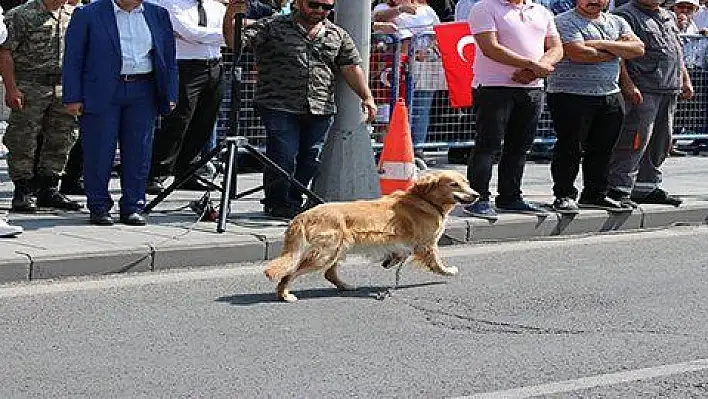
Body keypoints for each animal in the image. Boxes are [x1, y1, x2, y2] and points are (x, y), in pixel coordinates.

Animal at [262, 170, 478, 304]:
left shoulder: (404, 243)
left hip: (336, 250)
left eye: (467, 183)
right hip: (325, 254)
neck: (425, 199)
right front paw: (448, 271)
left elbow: (400, 253)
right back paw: (285, 295)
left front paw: (390, 261)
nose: (476, 195)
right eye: (454, 184)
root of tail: (302, 216)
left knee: (329, 273)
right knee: (291, 273)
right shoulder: (426, 244)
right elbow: (437, 262)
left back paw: (346, 286)